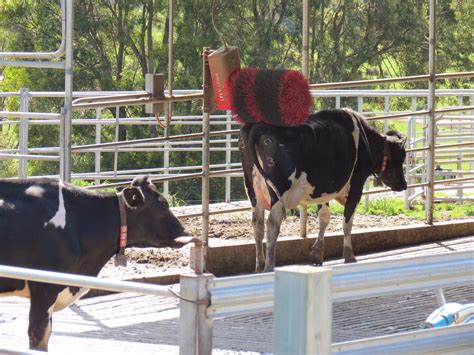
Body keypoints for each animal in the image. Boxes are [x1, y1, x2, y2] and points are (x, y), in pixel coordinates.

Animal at [241, 108, 408, 272]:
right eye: (400, 157)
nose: (404, 184)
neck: (365, 141)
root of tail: (259, 125)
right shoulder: (356, 185)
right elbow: (347, 222)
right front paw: (349, 255)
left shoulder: (321, 190)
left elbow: (324, 217)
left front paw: (317, 253)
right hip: (279, 191)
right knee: (272, 224)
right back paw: (269, 267)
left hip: (252, 190)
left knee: (257, 224)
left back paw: (260, 265)